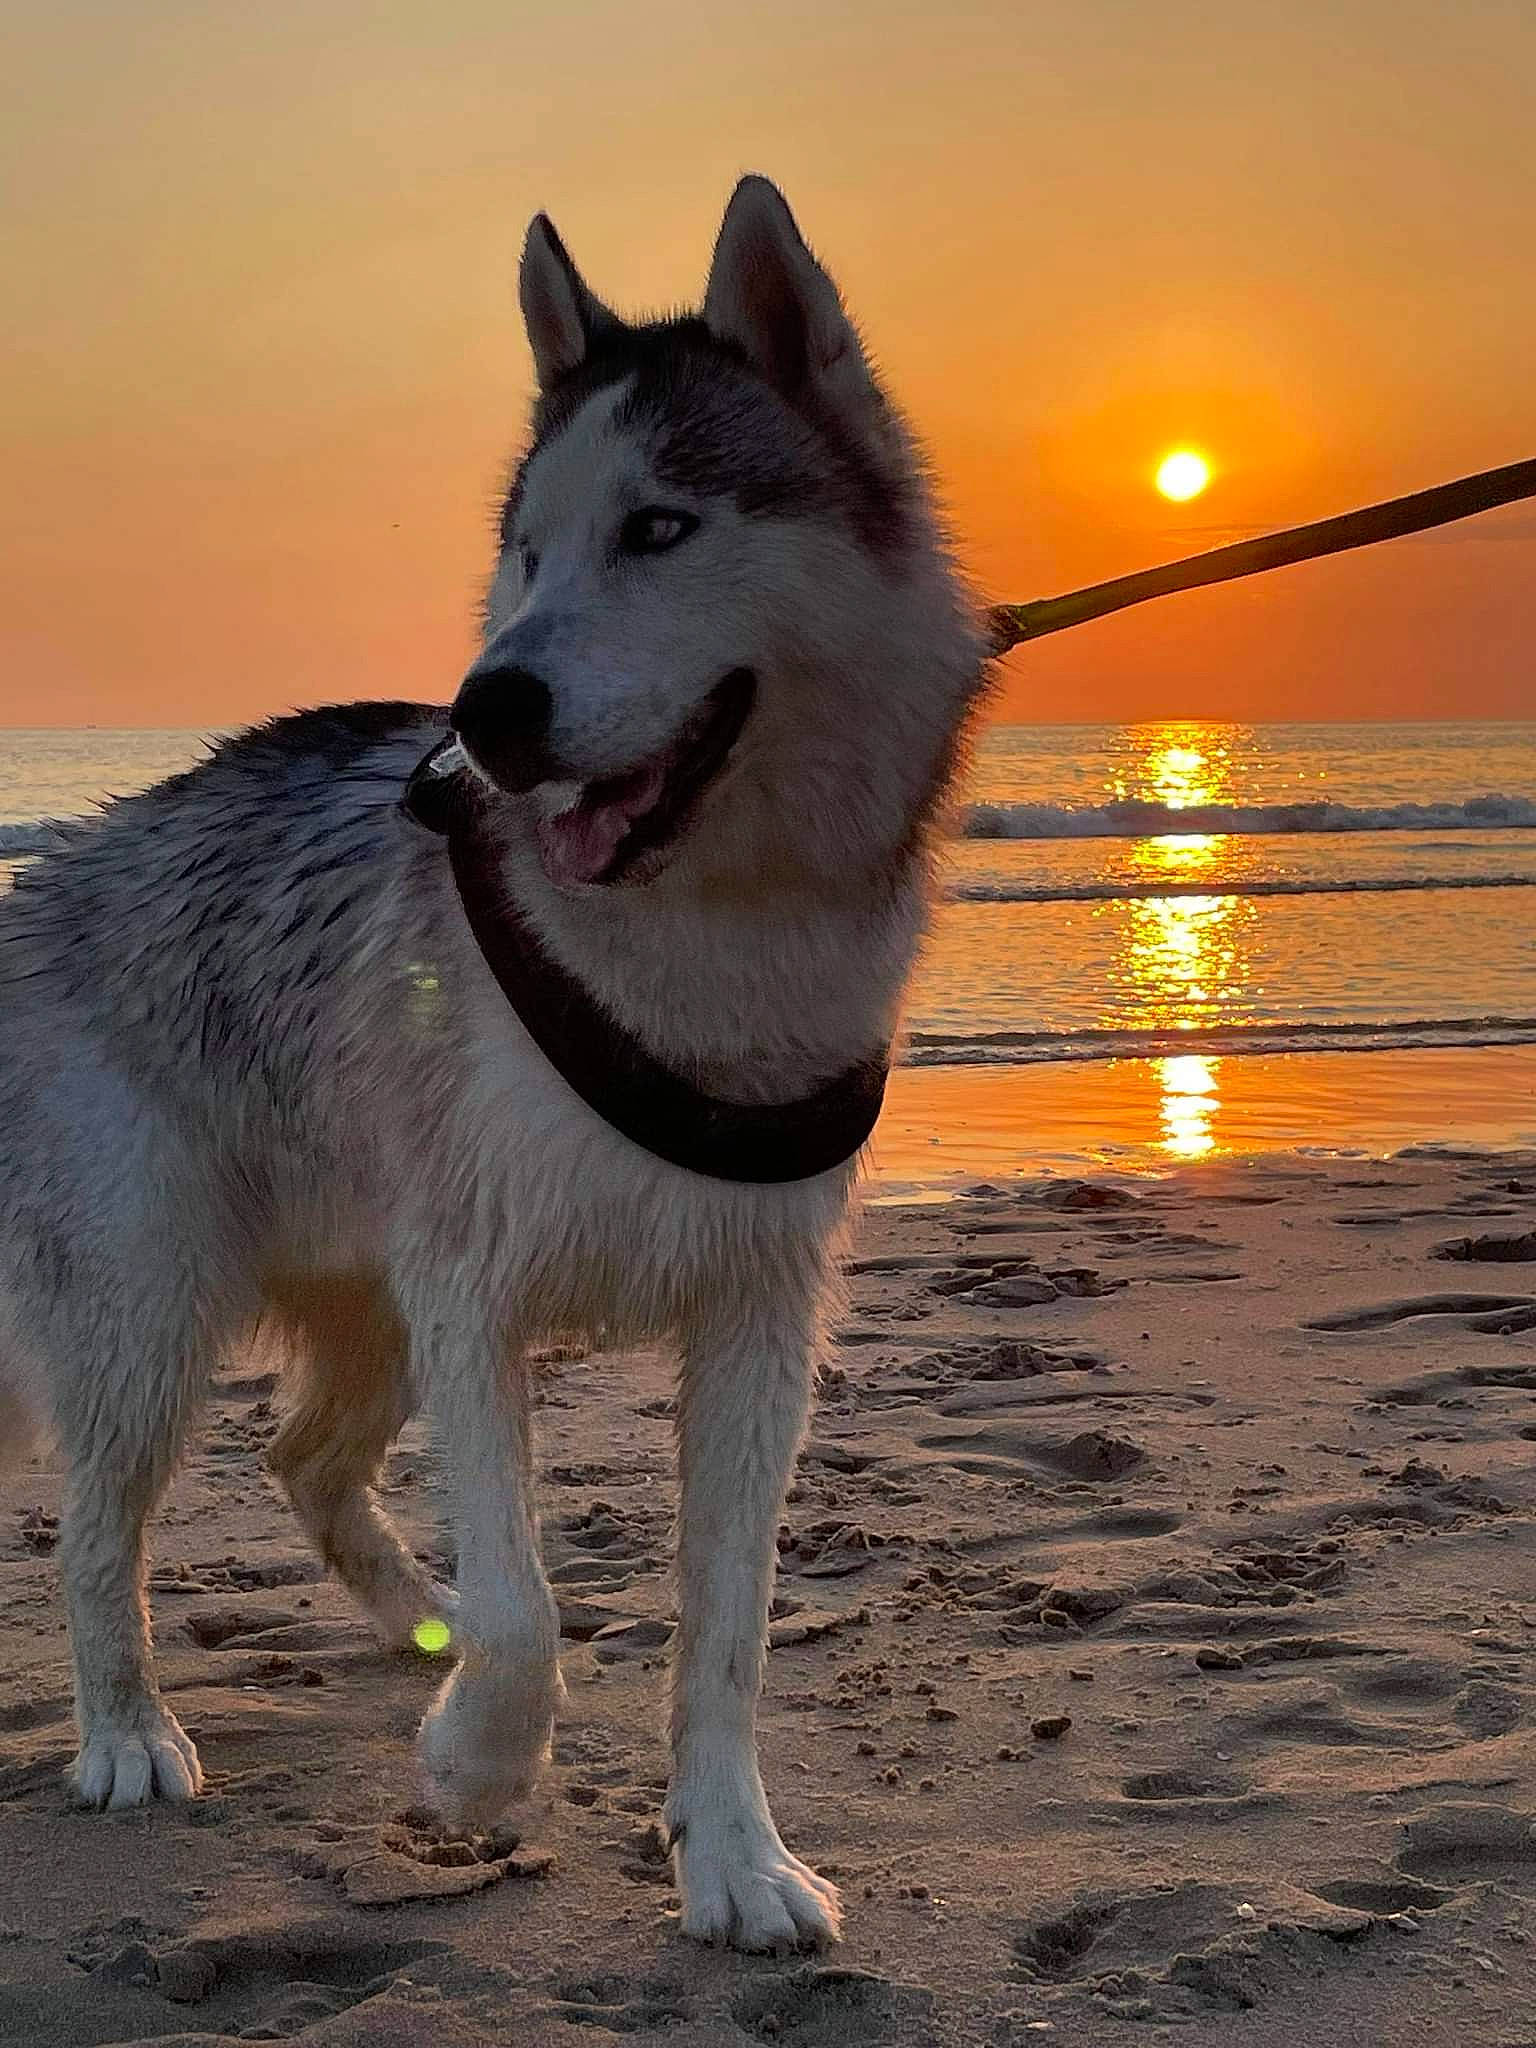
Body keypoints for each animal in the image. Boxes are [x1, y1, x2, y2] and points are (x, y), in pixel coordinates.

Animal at [0, 176, 986, 1950]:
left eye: (659, 529)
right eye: (525, 555)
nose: (485, 712)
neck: (702, 939)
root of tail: (49, 880)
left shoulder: (756, 1330)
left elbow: (727, 1633)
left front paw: (735, 1861)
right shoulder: (477, 1292)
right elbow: (534, 1615)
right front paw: (475, 1766)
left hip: (366, 1308)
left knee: (302, 1460)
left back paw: (419, 1627)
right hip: (153, 1310)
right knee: (98, 1530)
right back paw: (130, 1732)